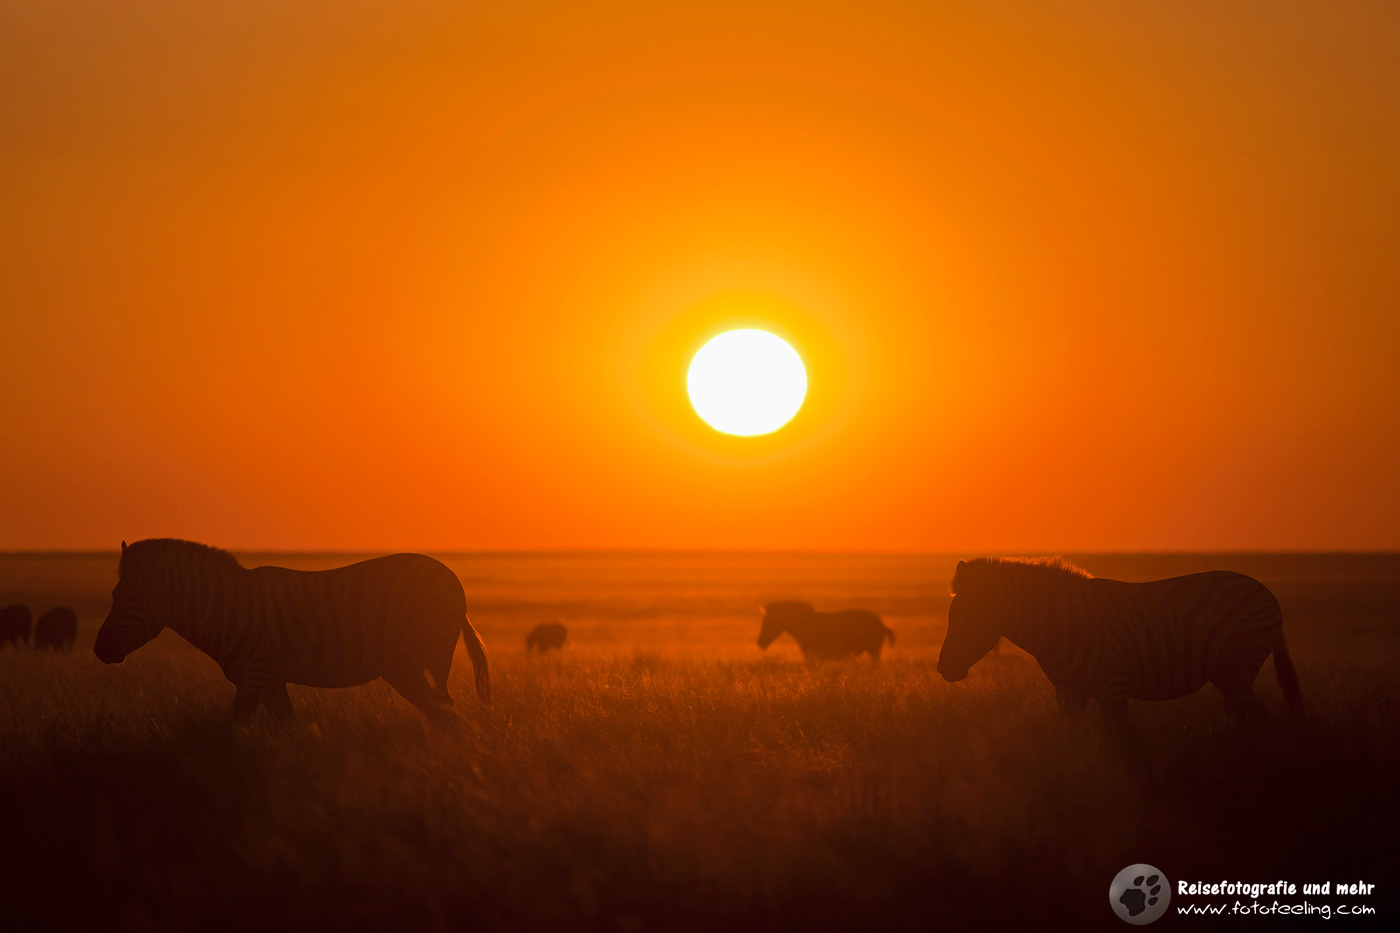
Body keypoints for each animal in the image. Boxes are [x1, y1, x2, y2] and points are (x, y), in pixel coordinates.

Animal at [93, 539, 490, 724]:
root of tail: (452, 580)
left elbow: (233, 730)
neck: (226, 609)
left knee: (445, 717)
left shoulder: (253, 675)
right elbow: (287, 729)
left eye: (127, 598)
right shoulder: (270, 680)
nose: (99, 650)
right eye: (114, 595)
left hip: (420, 662)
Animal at [758, 601, 895, 661]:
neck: (804, 625)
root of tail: (881, 624)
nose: (760, 642)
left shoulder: (813, 656)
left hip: (874, 650)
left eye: (768, 621)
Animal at [937, 557, 1303, 735]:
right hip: (1230, 675)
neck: (1059, 623)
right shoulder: (1068, 695)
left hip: (1239, 665)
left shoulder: (1112, 689)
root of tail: (1266, 593)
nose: (941, 670)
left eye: (967, 618)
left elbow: (1121, 753)